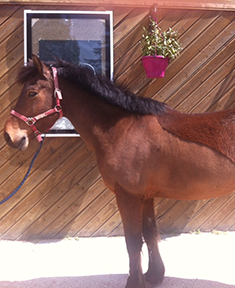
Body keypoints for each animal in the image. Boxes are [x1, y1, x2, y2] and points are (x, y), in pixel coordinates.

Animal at [3, 54, 235, 288]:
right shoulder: (145, 197)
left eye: (32, 93)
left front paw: (135, 281)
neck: (124, 130)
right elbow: (150, 233)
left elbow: (133, 241)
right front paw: (153, 275)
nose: (9, 135)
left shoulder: (128, 196)